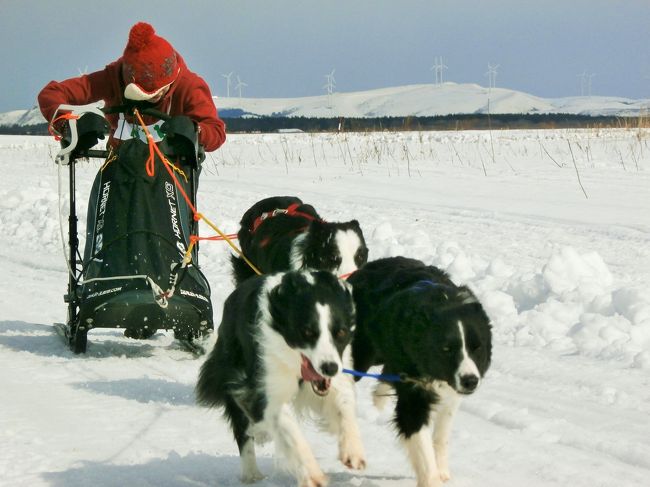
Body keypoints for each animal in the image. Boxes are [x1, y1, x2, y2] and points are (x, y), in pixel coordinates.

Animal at [195, 268, 364, 486]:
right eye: (307, 332)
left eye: (341, 332)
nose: (329, 368)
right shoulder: (267, 378)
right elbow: (289, 430)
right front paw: (313, 475)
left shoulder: (338, 370)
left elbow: (344, 405)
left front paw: (353, 452)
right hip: (232, 368)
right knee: (242, 427)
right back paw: (252, 473)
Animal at [346, 258, 488, 486]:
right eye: (446, 349)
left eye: (477, 347)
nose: (470, 381)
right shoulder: (414, 394)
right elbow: (420, 441)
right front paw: (432, 479)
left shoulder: (448, 391)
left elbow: (441, 436)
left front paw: (442, 471)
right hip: (362, 355)